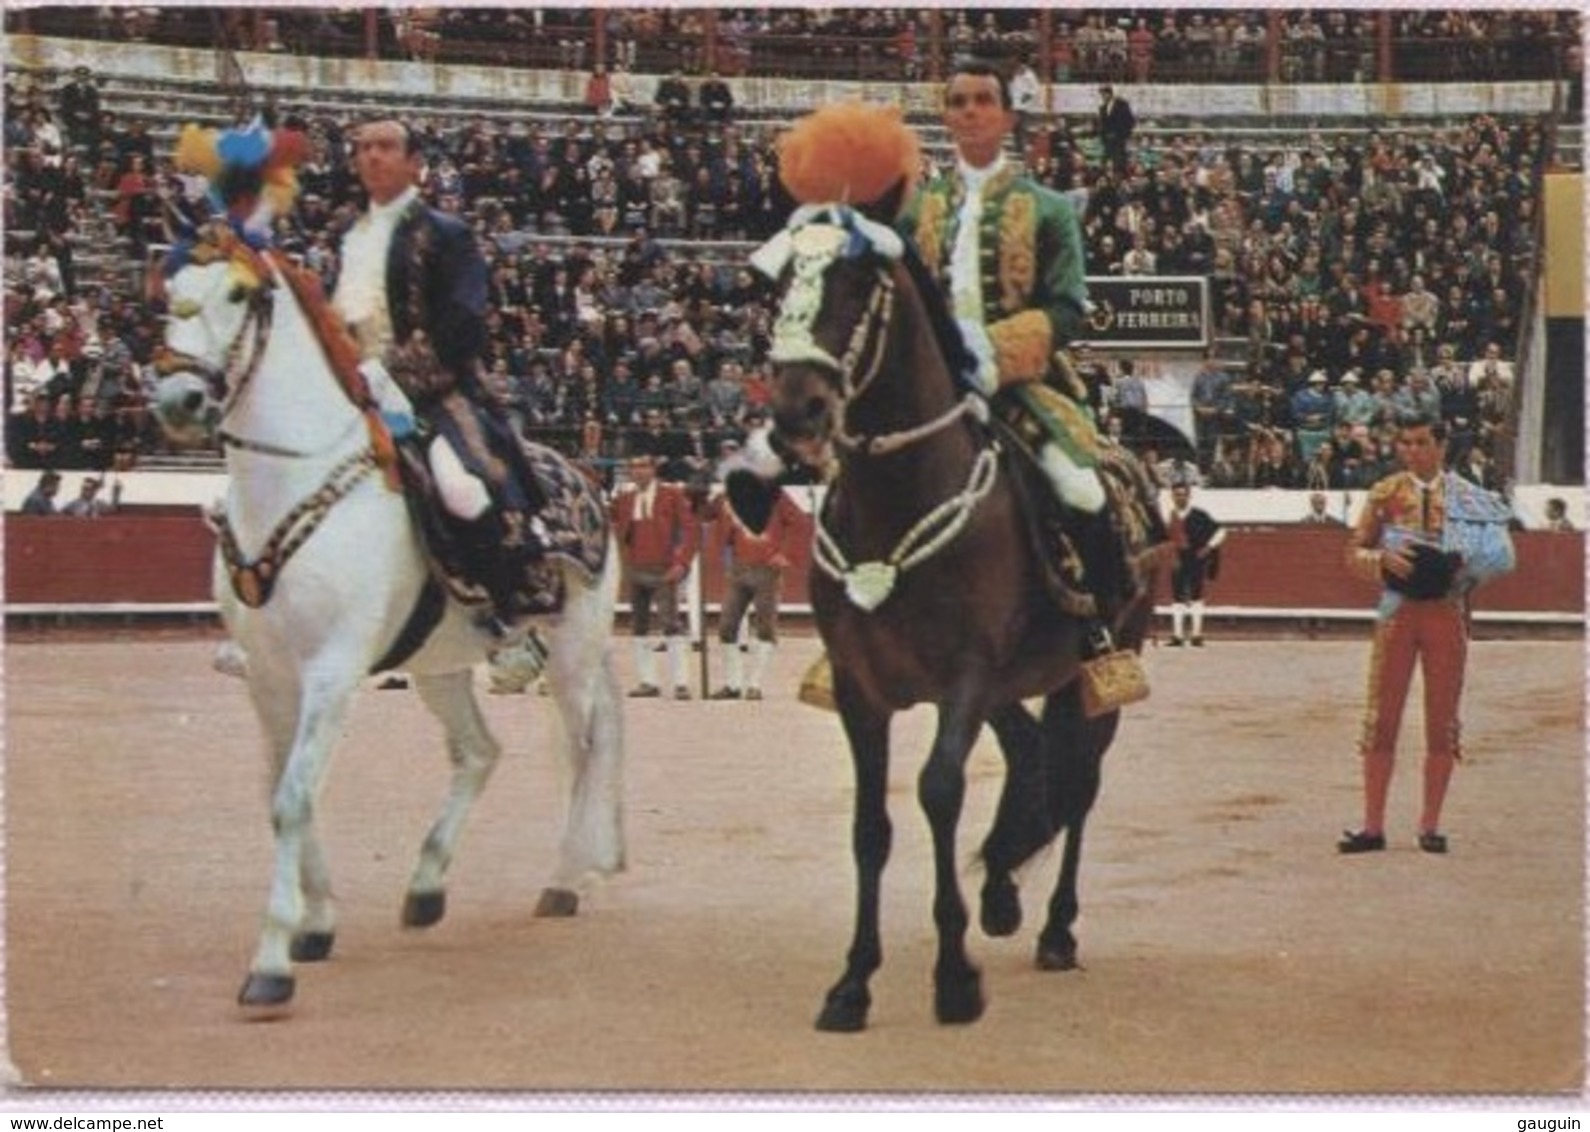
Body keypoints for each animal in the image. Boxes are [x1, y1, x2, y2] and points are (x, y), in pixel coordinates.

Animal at [149, 227, 620, 1011]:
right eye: (169, 291)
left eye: (240, 294)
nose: (178, 399)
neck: (293, 480)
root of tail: (584, 479)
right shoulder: (269, 678)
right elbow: (283, 793)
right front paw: (315, 925)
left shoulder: (331, 671)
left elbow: (293, 797)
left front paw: (271, 964)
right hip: (441, 668)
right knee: (479, 751)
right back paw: (426, 888)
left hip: (572, 651)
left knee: (585, 751)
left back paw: (564, 880)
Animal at [763, 205, 1163, 1036]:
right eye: (782, 279)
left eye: (857, 284)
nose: (795, 411)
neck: (897, 497)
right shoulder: (860, 690)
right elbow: (870, 826)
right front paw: (852, 983)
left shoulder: (965, 679)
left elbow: (939, 790)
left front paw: (954, 979)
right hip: (1013, 685)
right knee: (1031, 755)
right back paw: (1004, 892)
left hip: (1106, 660)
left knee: (1080, 781)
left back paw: (1056, 929)